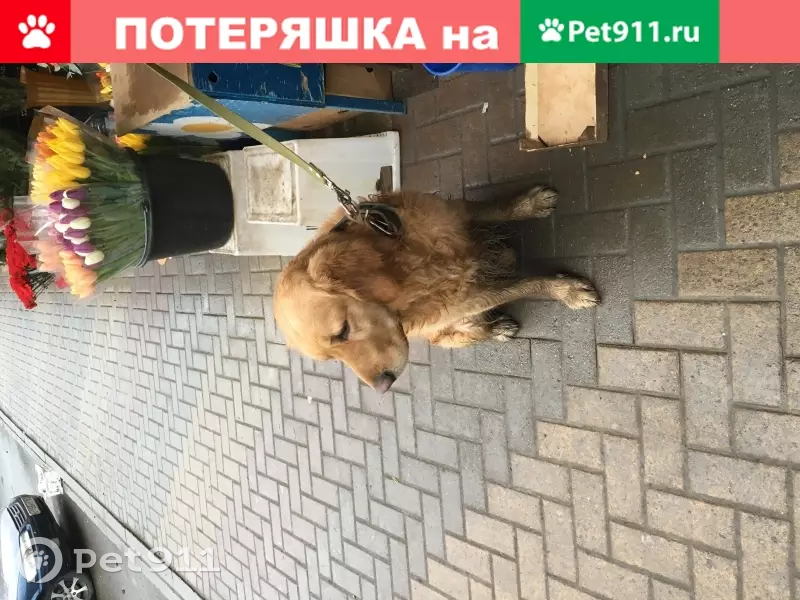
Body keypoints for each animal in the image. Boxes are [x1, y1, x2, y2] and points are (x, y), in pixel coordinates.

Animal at [274, 186, 599, 393]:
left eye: (342, 331)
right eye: (333, 360)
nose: (383, 386)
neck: (406, 266)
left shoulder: (456, 212)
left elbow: (493, 208)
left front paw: (529, 204)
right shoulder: (469, 301)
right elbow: (526, 285)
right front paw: (567, 290)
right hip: (448, 333)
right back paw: (498, 326)